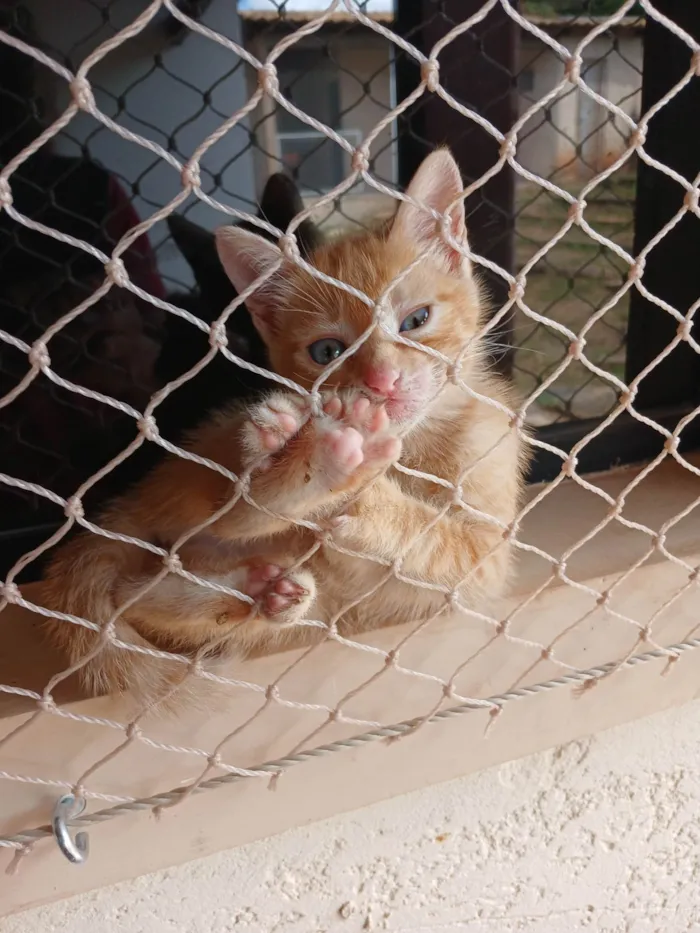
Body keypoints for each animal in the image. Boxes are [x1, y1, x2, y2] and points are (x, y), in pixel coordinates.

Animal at [42, 149, 524, 700]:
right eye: (328, 352)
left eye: (416, 320)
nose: (381, 382)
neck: (415, 442)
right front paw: (355, 483)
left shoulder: (487, 557)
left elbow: (437, 536)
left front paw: (375, 506)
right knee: (234, 514)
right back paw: (322, 467)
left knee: (140, 592)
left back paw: (262, 590)